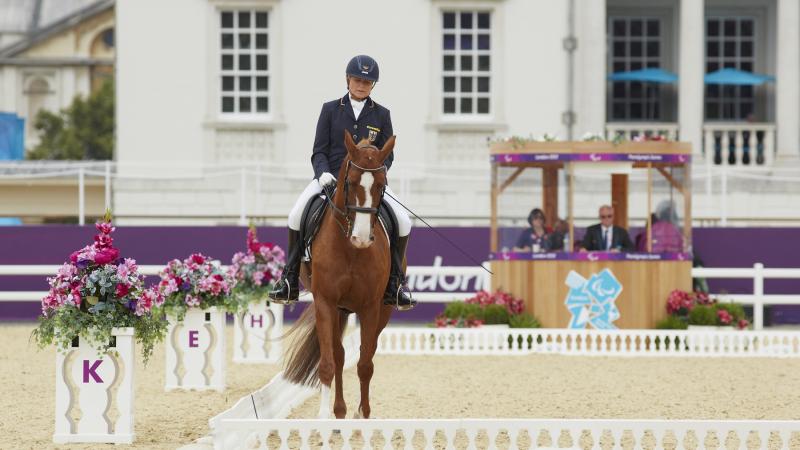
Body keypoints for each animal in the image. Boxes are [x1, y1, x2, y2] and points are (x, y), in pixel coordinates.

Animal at [286, 130, 398, 418]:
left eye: (381, 184)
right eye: (350, 181)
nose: (361, 238)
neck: (351, 251)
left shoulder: (371, 307)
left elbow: (366, 364)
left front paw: (364, 414)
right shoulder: (325, 302)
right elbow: (328, 363)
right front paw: (324, 416)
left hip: (380, 310)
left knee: (364, 354)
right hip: (338, 309)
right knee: (338, 356)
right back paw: (337, 411)